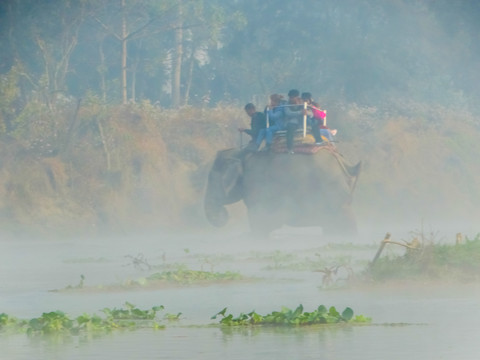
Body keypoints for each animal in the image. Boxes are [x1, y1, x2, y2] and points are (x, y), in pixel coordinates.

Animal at [204, 146, 362, 236]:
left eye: (211, 179)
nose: (225, 213)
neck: (242, 154)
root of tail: (347, 164)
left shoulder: (257, 184)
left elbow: (260, 220)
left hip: (333, 194)